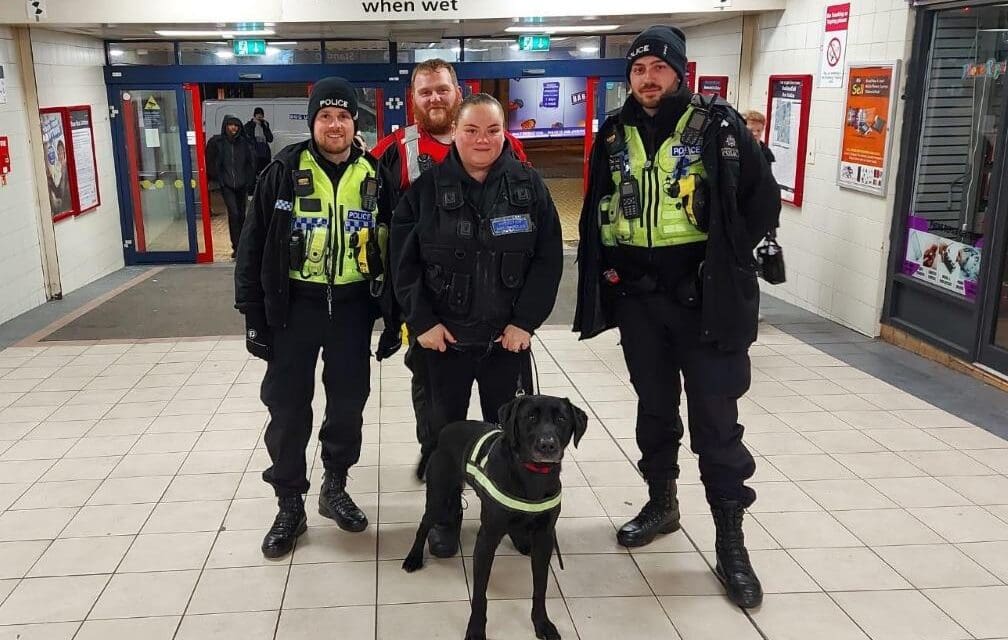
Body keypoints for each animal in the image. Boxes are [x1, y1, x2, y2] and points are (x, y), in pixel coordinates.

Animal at [403, 393, 588, 636]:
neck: (532, 475)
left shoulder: (544, 538)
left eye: (561, 419)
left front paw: (542, 623)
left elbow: (540, 588)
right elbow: (480, 595)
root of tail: (445, 430)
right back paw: (413, 557)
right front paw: (475, 628)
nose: (547, 445)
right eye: (530, 417)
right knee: (424, 524)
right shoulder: (487, 539)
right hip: (438, 496)